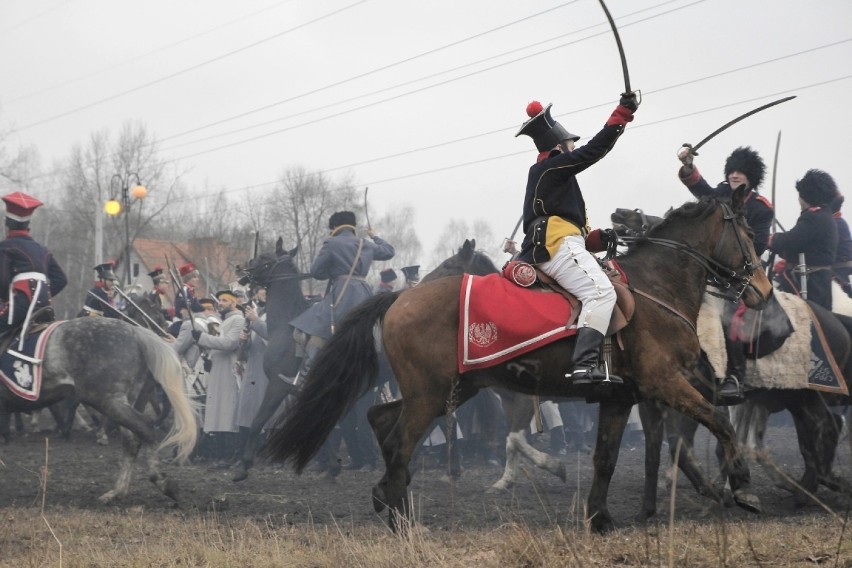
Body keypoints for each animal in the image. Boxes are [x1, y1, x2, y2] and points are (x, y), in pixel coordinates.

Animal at [0, 318, 195, 504]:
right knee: (132, 440)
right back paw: (117, 491)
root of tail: (135, 331)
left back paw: (163, 483)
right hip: (124, 401)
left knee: (145, 429)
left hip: (109, 401)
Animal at [268, 187, 780, 532]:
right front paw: (744, 487)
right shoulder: (664, 383)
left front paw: (599, 518)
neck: (656, 289)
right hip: (432, 397)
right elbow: (720, 420)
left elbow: (605, 459)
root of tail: (399, 300)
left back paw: (388, 501)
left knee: (380, 420)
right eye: (747, 231)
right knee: (397, 441)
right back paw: (402, 520)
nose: (762, 289)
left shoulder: (621, 397)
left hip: (448, 391)